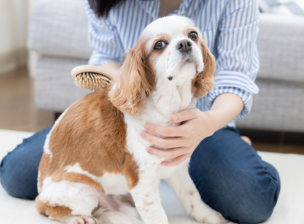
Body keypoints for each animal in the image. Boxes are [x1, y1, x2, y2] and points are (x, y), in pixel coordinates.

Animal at [35, 15, 226, 224]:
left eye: (193, 35)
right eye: (159, 45)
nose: (185, 44)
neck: (165, 108)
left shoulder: (176, 166)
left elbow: (191, 196)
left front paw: (209, 216)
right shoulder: (141, 180)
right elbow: (157, 215)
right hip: (81, 191)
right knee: (46, 208)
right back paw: (78, 218)